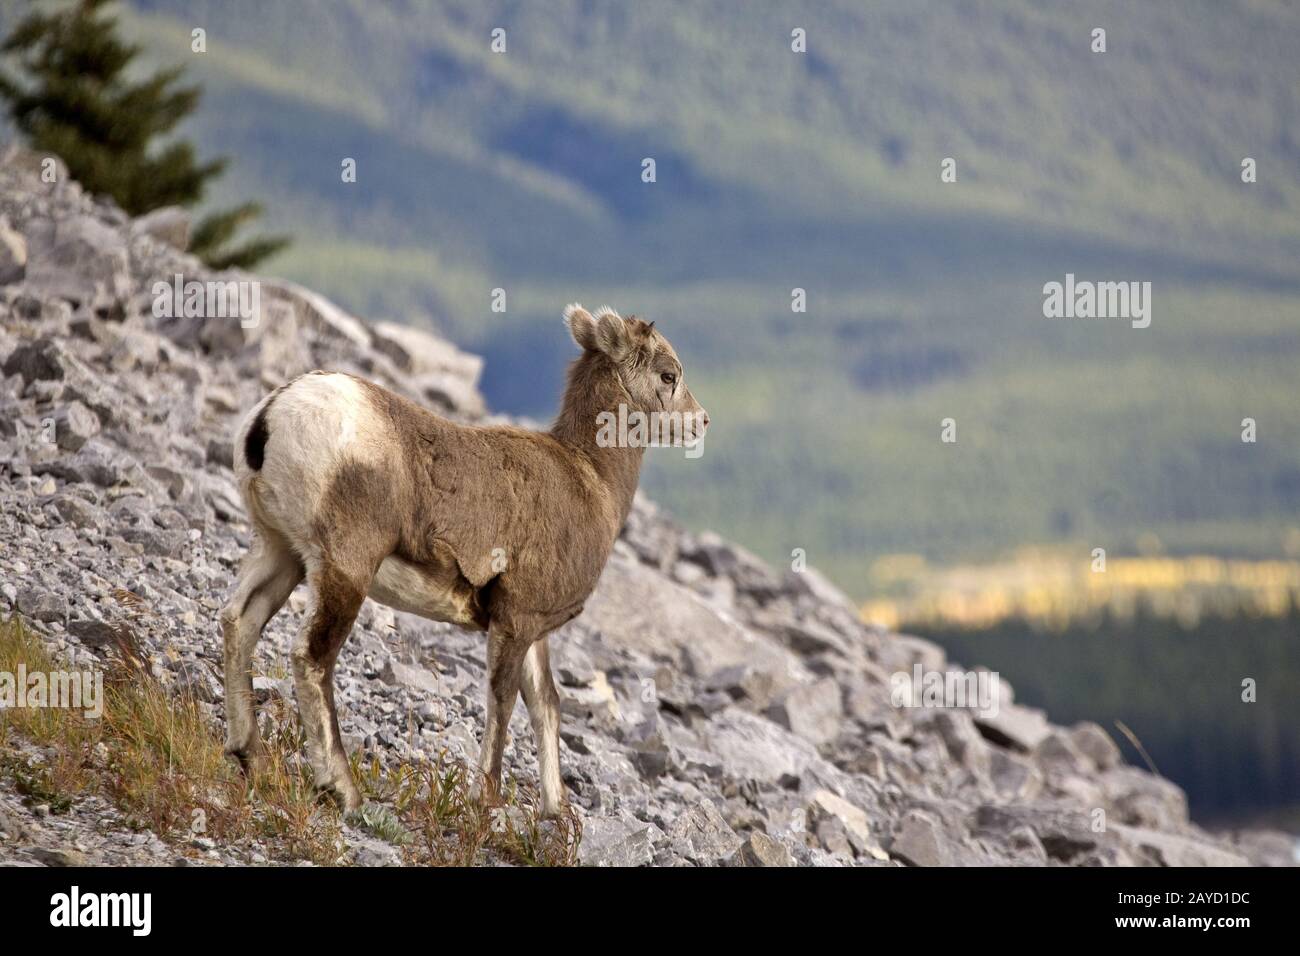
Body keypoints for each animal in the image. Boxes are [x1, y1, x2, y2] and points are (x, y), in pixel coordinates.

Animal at [223, 304, 712, 816]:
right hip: (345, 568)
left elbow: (546, 704)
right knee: (312, 657)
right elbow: (503, 700)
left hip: (280, 551)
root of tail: (272, 415)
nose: (701, 422)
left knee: (239, 621)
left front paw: (557, 813)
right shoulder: (515, 621)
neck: (593, 482)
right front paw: (487, 800)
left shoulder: (533, 627)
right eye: (668, 375)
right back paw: (342, 789)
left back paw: (251, 757)